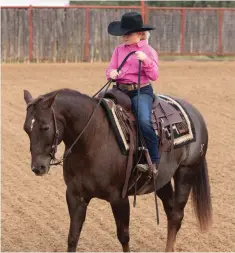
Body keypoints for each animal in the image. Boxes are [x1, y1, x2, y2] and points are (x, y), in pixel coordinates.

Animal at [23, 88, 212, 252]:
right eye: (26, 129)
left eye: (45, 127)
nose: (38, 167)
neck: (92, 138)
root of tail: (194, 112)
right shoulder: (75, 196)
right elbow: (73, 237)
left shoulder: (119, 199)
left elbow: (124, 236)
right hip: (161, 180)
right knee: (171, 211)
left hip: (186, 173)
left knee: (177, 215)